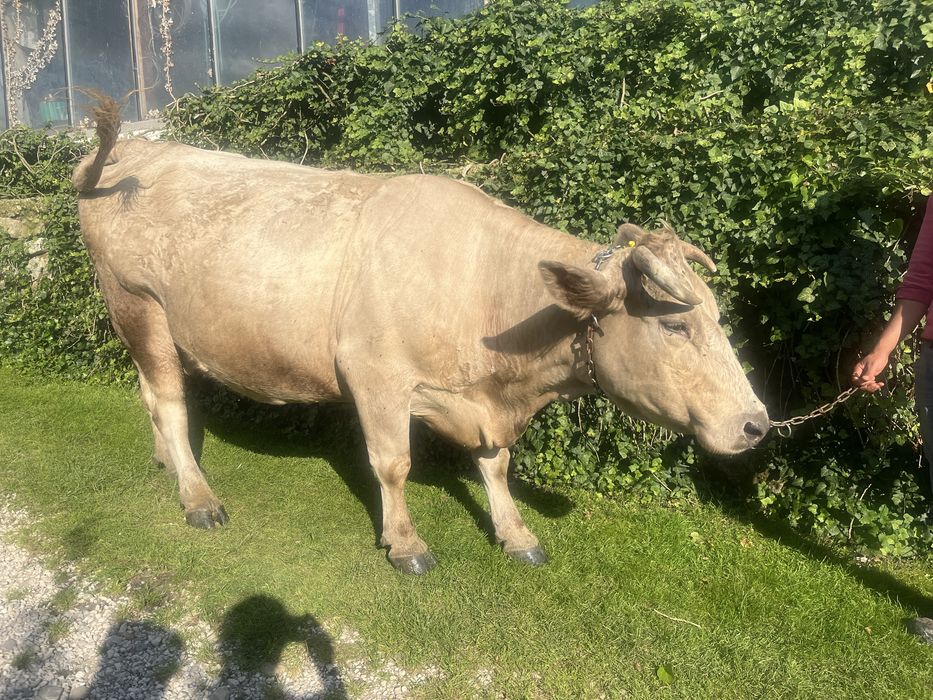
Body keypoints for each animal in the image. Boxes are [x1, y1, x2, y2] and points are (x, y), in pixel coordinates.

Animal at [73, 96, 768, 574]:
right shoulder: (374, 374)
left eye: (716, 317)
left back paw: (168, 462)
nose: (757, 423)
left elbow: (496, 465)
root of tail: (138, 152)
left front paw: (516, 533)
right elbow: (393, 463)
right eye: (675, 323)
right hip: (138, 305)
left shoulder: (481, 400)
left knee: (151, 395)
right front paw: (405, 543)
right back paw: (197, 496)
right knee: (169, 400)